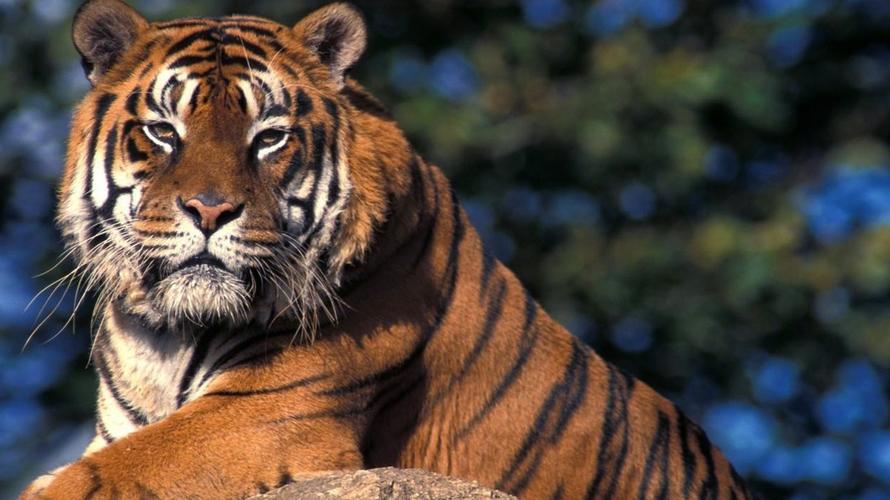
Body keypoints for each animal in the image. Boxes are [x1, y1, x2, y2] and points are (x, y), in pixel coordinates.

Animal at [22, 0, 754, 498]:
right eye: (163, 131)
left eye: (269, 137)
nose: (210, 210)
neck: (166, 333)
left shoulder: (266, 412)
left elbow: (106, 474)